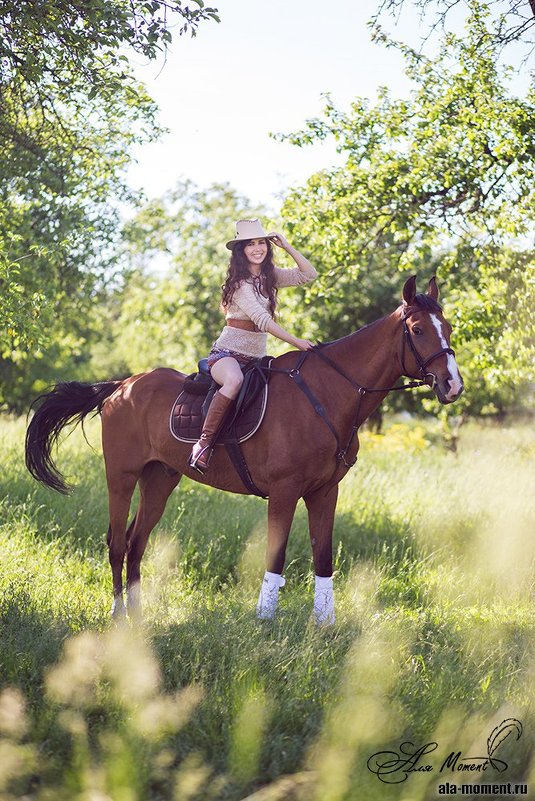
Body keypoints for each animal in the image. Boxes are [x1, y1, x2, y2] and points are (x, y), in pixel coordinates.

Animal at [25, 278, 462, 620]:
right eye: (418, 330)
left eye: (448, 327)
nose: (452, 385)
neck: (327, 394)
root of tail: (122, 386)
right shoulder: (284, 491)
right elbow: (276, 557)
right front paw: (265, 620)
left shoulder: (325, 492)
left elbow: (323, 558)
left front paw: (324, 625)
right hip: (121, 476)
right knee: (117, 543)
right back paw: (118, 614)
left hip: (160, 480)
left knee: (136, 543)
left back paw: (137, 616)